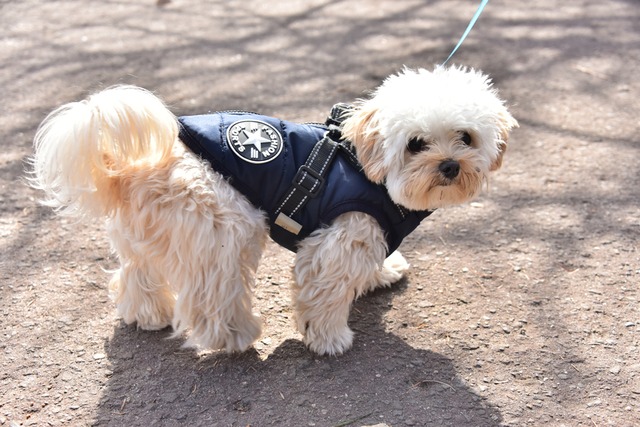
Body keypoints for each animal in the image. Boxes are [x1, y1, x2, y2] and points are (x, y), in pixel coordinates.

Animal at [30, 66, 517, 356]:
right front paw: (329, 339)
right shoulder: (335, 243)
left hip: (153, 237)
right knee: (211, 298)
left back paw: (146, 315)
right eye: (416, 143)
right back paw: (234, 336)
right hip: (225, 227)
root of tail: (132, 168)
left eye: (466, 138)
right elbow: (323, 296)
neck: (365, 167)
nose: (450, 165)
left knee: (135, 275)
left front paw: (382, 273)